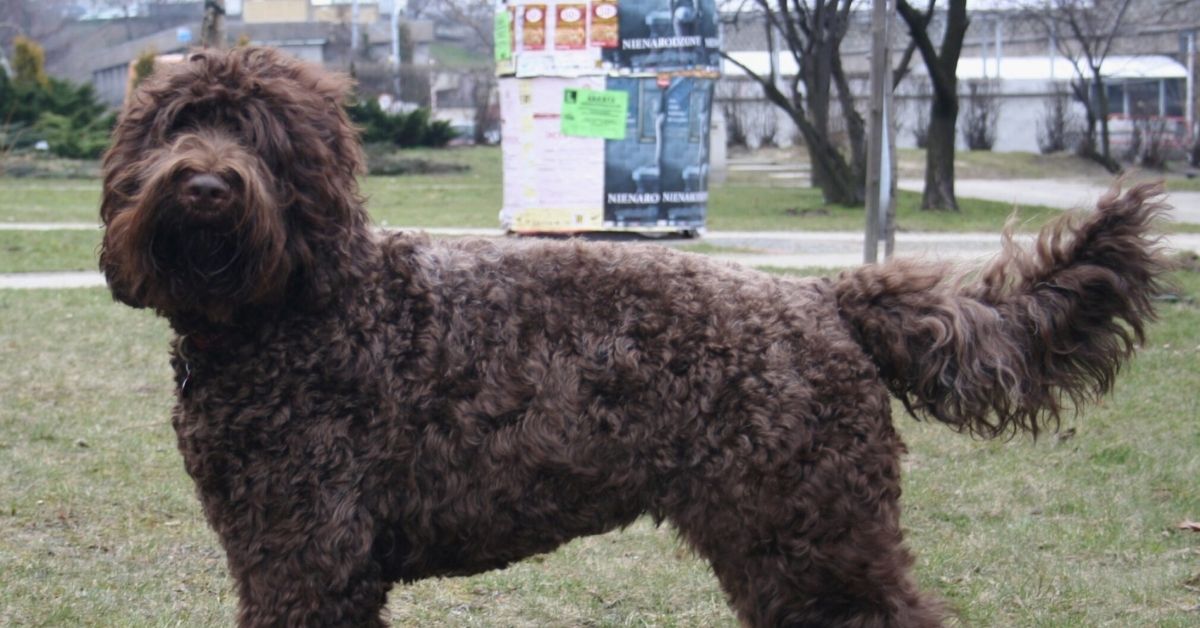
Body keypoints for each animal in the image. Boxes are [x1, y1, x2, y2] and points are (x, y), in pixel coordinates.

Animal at [98, 46, 1166, 624]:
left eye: (262, 137)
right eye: (174, 128)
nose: (206, 185)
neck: (293, 316)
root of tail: (825, 302)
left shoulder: (308, 555)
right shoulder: (295, 557)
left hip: (810, 531)